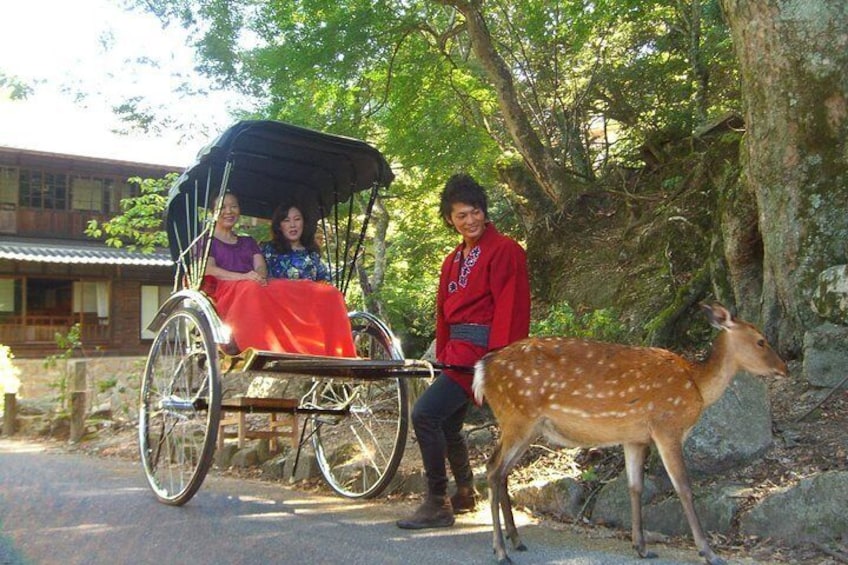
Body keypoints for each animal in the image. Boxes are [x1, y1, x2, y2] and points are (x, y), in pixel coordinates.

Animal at [474, 304, 784, 564]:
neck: (696, 385)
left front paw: (642, 547)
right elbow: (683, 487)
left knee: (500, 470)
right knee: (493, 470)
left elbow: (635, 487)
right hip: (517, 417)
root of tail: (482, 369)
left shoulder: (634, 437)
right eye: (761, 340)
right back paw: (501, 550)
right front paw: (709, 552)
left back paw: (515, 540)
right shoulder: (666, 426)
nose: (784, 367)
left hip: (527, 426)